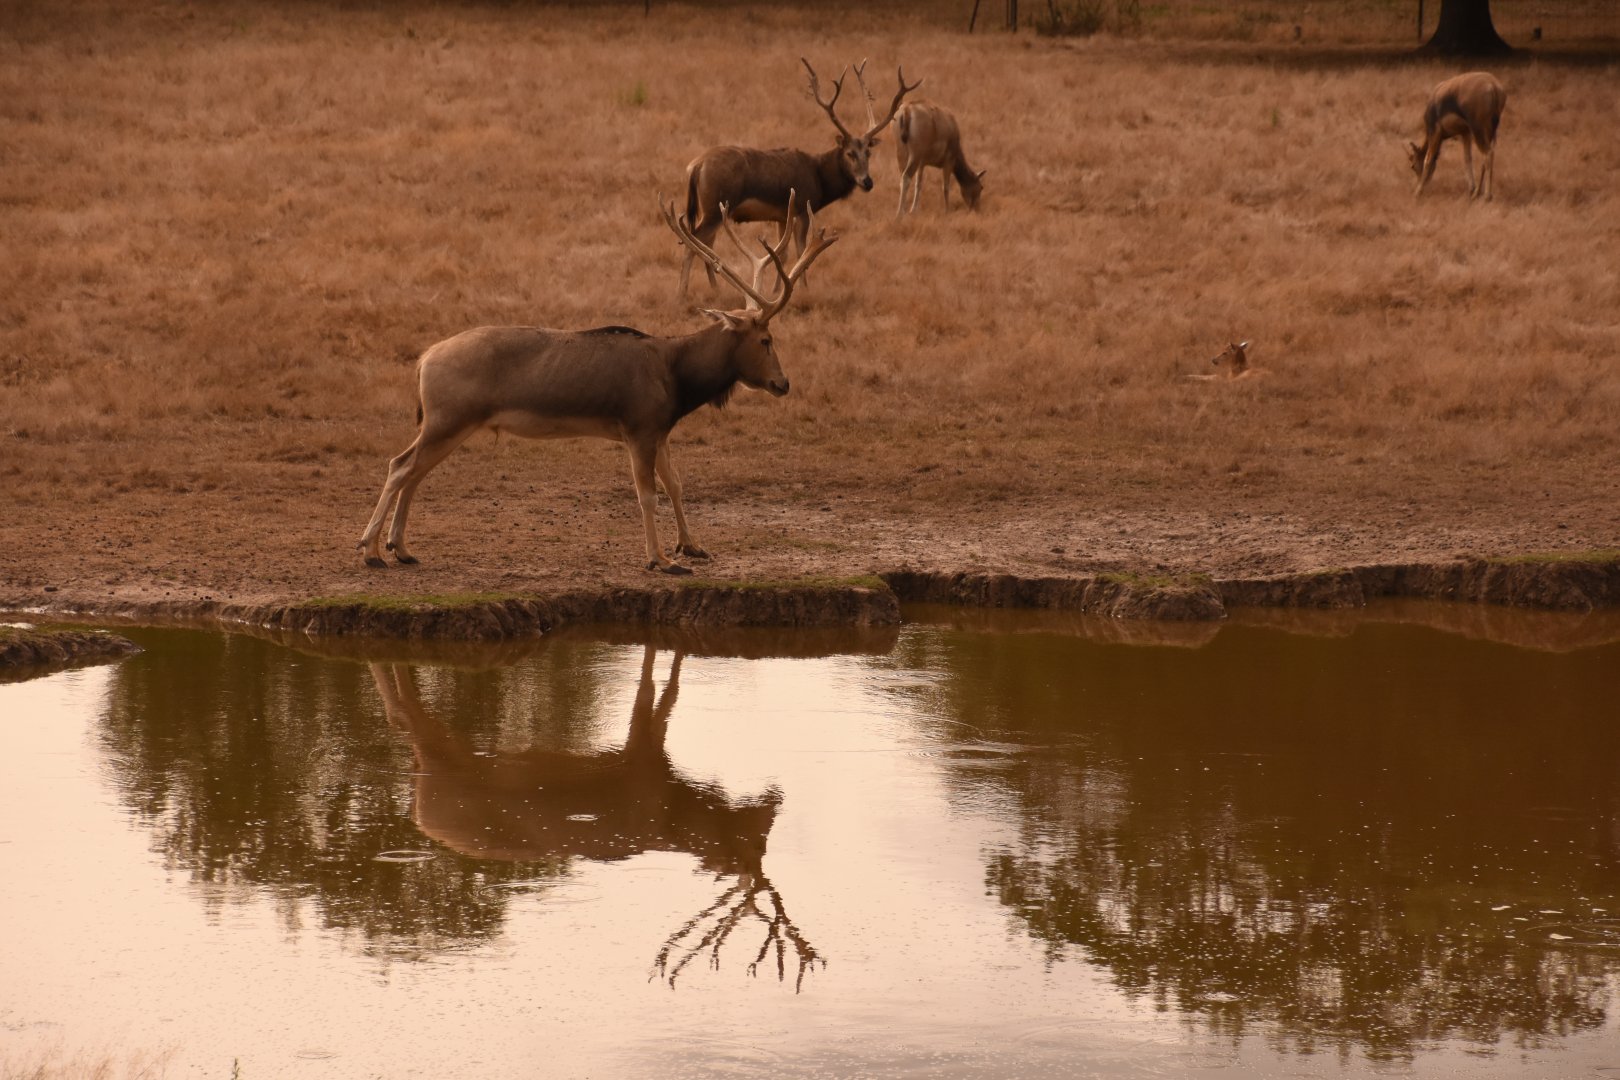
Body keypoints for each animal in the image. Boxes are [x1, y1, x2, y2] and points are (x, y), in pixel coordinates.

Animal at [358, 193, 838, 575]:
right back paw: (370, 549)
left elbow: (676, 484)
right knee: (399, 466)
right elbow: (646, 494)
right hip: (448, 417)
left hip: (449, 422)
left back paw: (401, 548)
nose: (783, 383)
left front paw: (692, 546)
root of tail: (423, 360)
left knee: (413, 471)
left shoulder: (660, 430)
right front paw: (660, 559)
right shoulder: (638, 427)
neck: (677, 379)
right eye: (766, 339)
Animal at [370, 645, 823, 990]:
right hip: (441, 758)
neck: (675, 809)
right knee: (406, 714)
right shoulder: (643, 758)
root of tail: (421, 814)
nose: (775, 800)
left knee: (402, 721)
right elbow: (660, 691)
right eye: (755, 841)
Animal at [677, 58, 921, 299]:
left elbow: (782, 253)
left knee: (705, 243)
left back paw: (714, 287)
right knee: (693, 240)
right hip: (714, 206)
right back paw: (683, 291)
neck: (819, 179)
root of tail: (695, 166)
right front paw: (803, 288)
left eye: (868, 153)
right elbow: (801, 251)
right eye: (850, 153)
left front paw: (776, 289)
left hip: (713, 209)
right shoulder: (803, 207)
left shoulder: (780, 215)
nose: (867, 182)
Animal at [1407, 71, 1507, 201]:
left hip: (1478, 130)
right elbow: (1467, 158)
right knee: (1488, 156)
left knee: (1487, 154)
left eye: (1413, 166)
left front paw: (1417, 192)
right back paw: (1477, 193)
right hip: (1490, 133)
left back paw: (1487, 196)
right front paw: (1471, 189)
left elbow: (1428, 159)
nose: (1420, 183)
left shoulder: (1435, 132)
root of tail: (1493, 86)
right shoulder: (1465, 133)